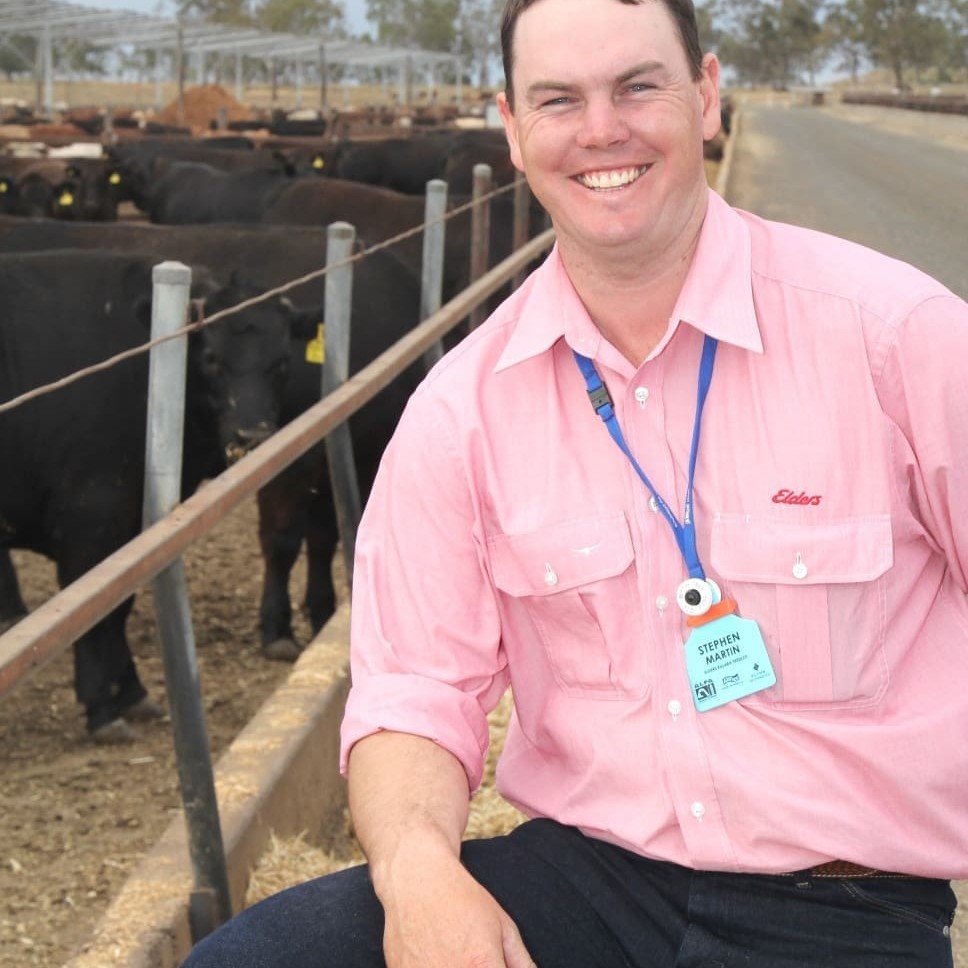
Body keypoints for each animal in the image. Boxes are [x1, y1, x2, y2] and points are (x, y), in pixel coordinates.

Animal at [0, 250, 306, 740]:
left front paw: (131, 693)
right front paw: (102, 709)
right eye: (212, 358)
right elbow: (91, 619)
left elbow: (118, 610)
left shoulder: (129, 531)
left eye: (281, 362)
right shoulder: (89, 520)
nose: (252, 436)